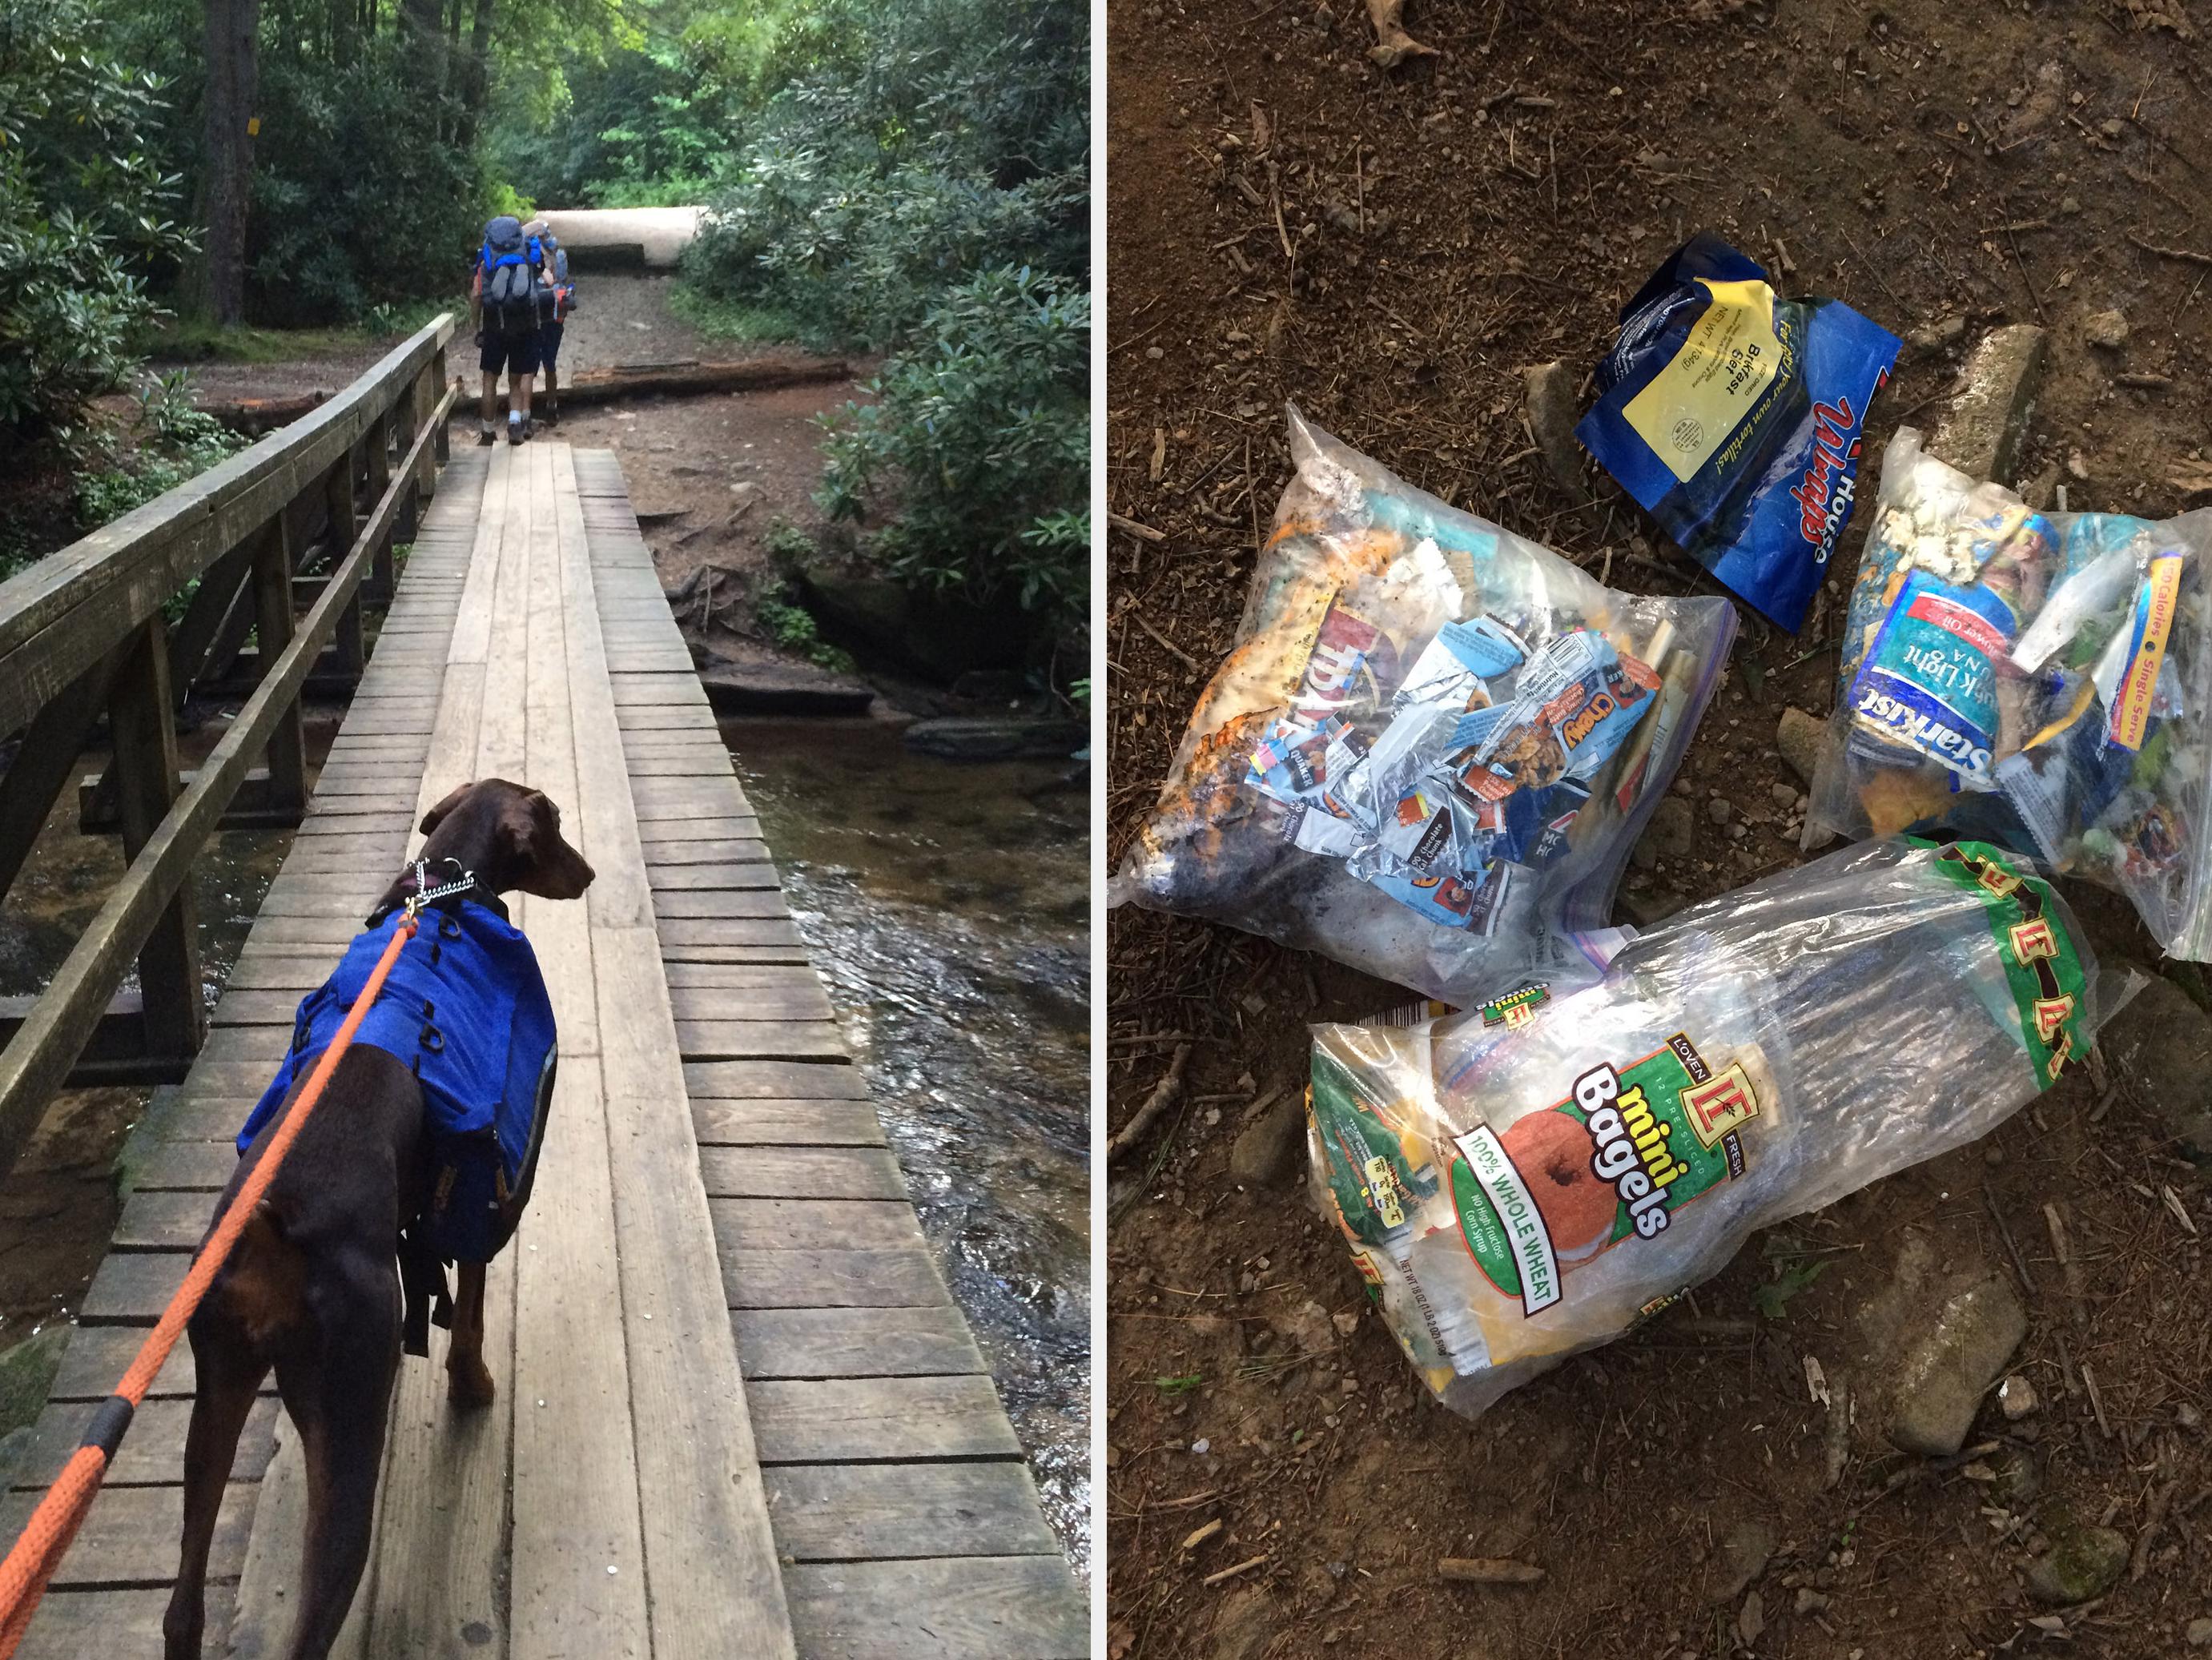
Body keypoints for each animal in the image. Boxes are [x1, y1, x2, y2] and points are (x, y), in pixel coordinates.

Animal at [163, 778, 593, 1660]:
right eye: (555, 825)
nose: (592, 875)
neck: (443, 895)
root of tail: (273, 1230)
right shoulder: (476, 1194)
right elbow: (471, 1308)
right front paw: (473, 1385)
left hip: (217, 1388)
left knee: (182, 1606)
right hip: (351, 1407)